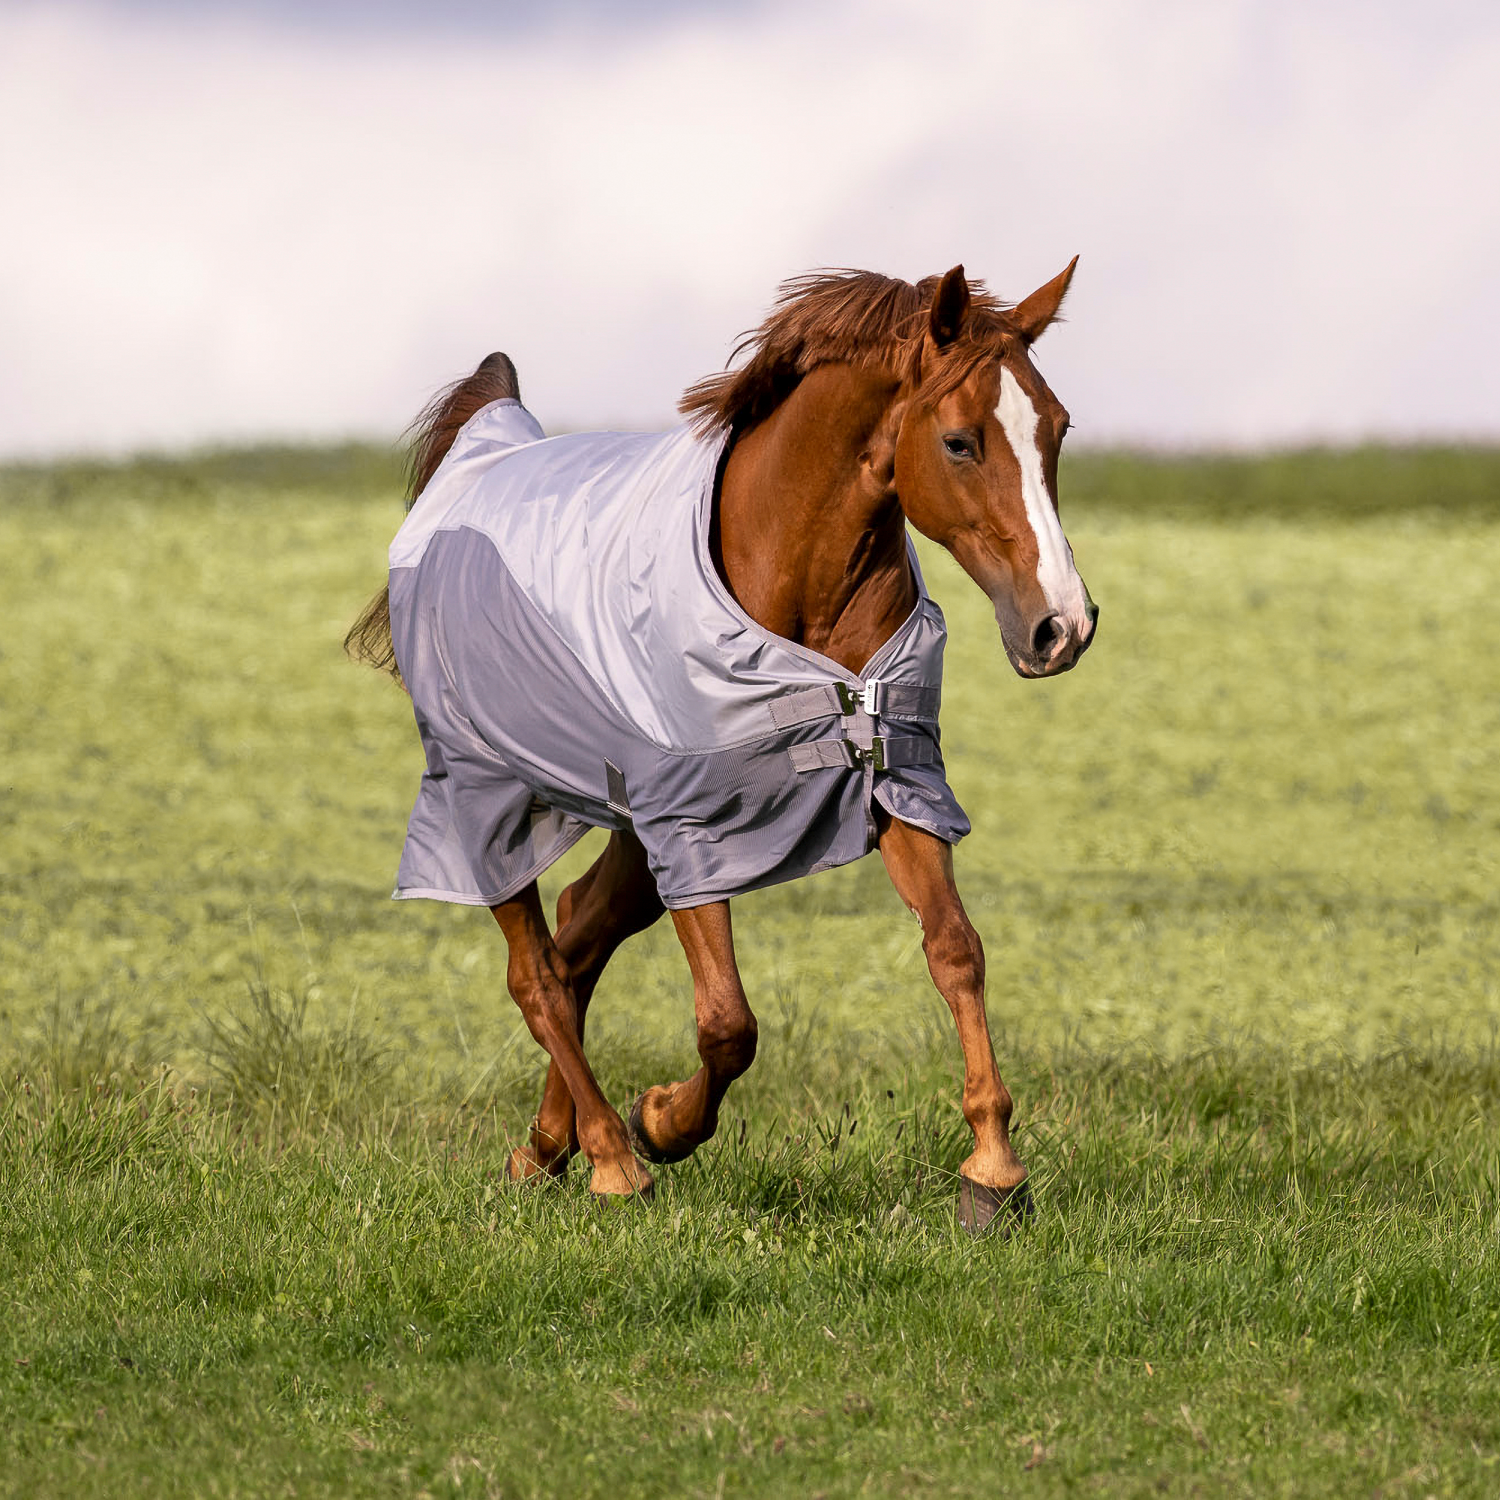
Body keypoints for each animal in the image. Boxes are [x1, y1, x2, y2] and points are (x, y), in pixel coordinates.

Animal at [351, 264, 1104, 1236]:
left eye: (1056, 429)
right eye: (961, 441)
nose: (1063, 627)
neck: (789, 577)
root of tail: (476, 461)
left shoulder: (897, 779)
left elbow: (956, 952)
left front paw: (994, 1171)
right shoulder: (692, 826)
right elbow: (728, 1023)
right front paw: (663, 1122)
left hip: (623, 821)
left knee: (579, 933)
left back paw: (544, 1150)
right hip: (485, 800)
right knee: (538, 973)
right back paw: (610, 1158)